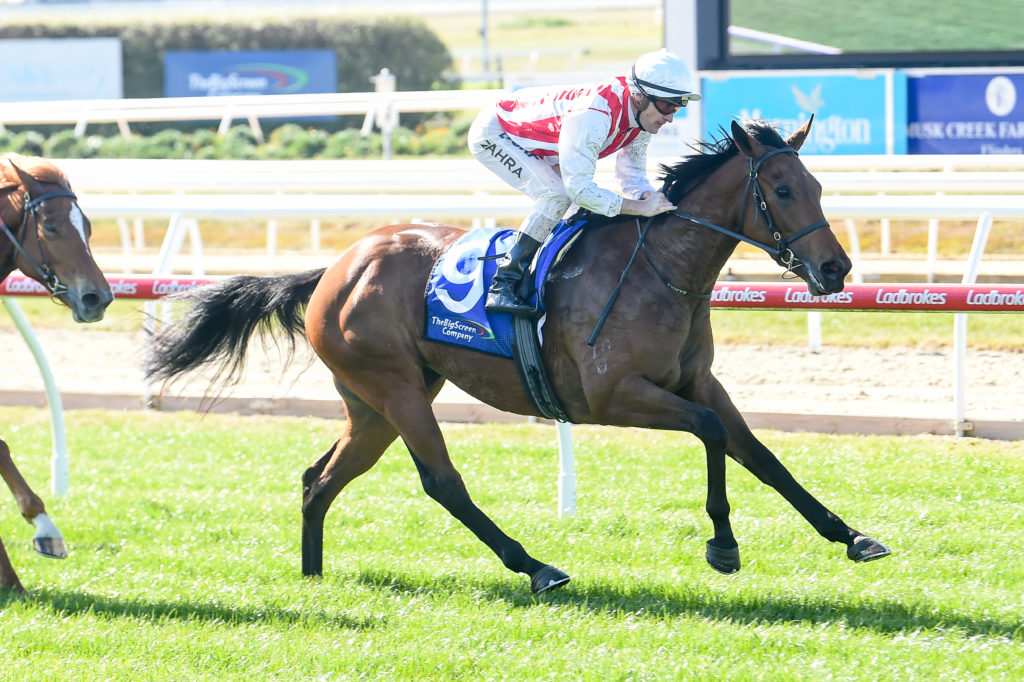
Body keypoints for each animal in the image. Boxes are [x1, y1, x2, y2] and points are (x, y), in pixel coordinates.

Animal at [146, 117, 891, 594]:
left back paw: (313, 576)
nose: (835, 268)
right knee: (442, 483)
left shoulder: (698, 382)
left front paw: (850, 535)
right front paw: (723, 544)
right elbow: (712, 436)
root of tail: (336, 267)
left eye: (818, 187)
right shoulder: (614, 395)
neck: (659, 269)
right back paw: (536, 567)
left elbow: (760, 454)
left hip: (374, 404)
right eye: (783, 190)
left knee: (319, 478)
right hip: (397, 390)